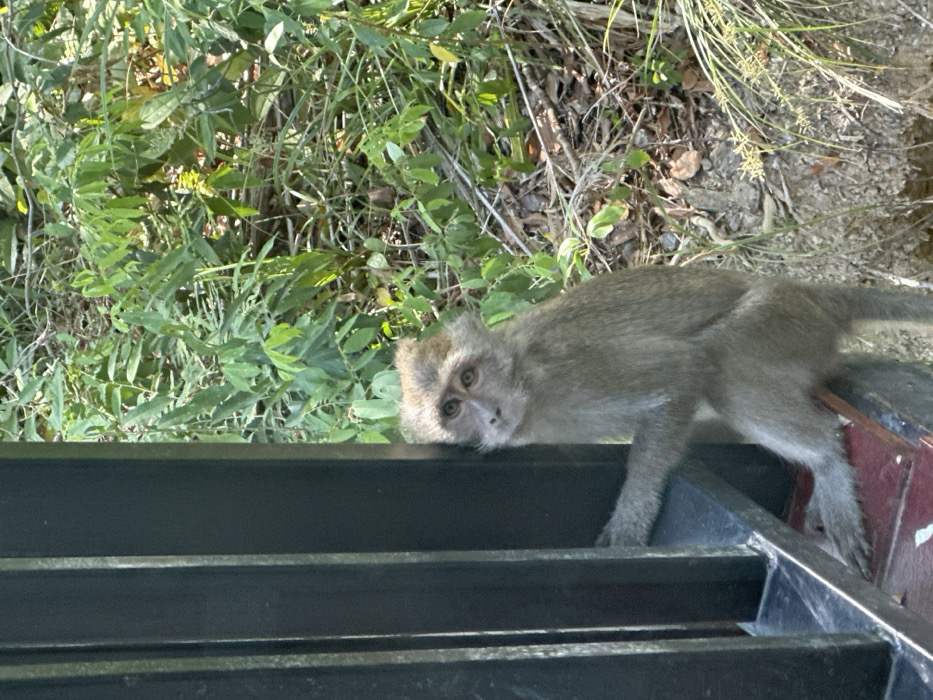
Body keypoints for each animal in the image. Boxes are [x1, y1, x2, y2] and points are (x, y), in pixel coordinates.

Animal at [394, 265, 933, 576]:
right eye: (450, 409)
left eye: (468, 376)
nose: (491, 415)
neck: (527, 384)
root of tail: (805, 295)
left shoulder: (574, 369)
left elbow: (684, 370)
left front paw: (631, 521)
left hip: (776, 321)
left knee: (722, 363)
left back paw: (826, 461)